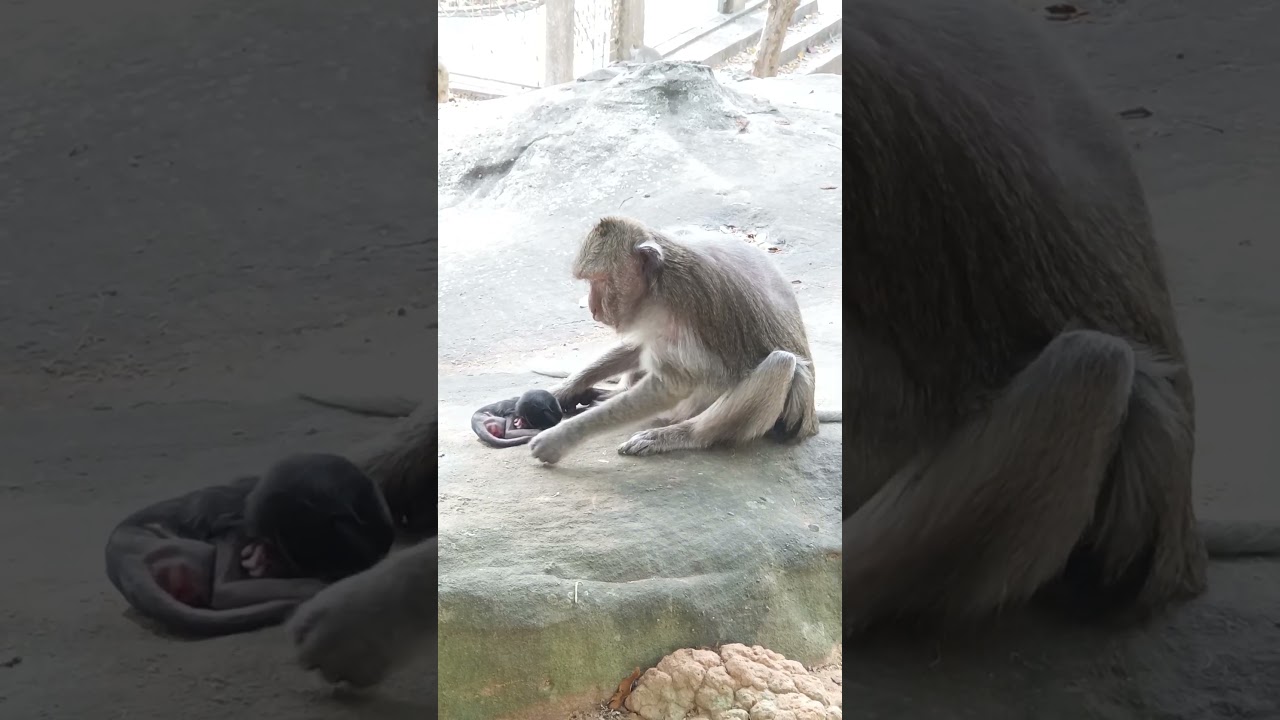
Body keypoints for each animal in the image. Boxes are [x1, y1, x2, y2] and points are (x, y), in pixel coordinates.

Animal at [526, 215, 839, 465]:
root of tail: (811, 418)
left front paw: (562, 437)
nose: (592, 308)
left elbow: (674, 384)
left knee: (782, 364)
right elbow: (638, 346)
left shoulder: (680, 310)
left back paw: (680, 435)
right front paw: (564, 390)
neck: (658, 284)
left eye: (599, 281)